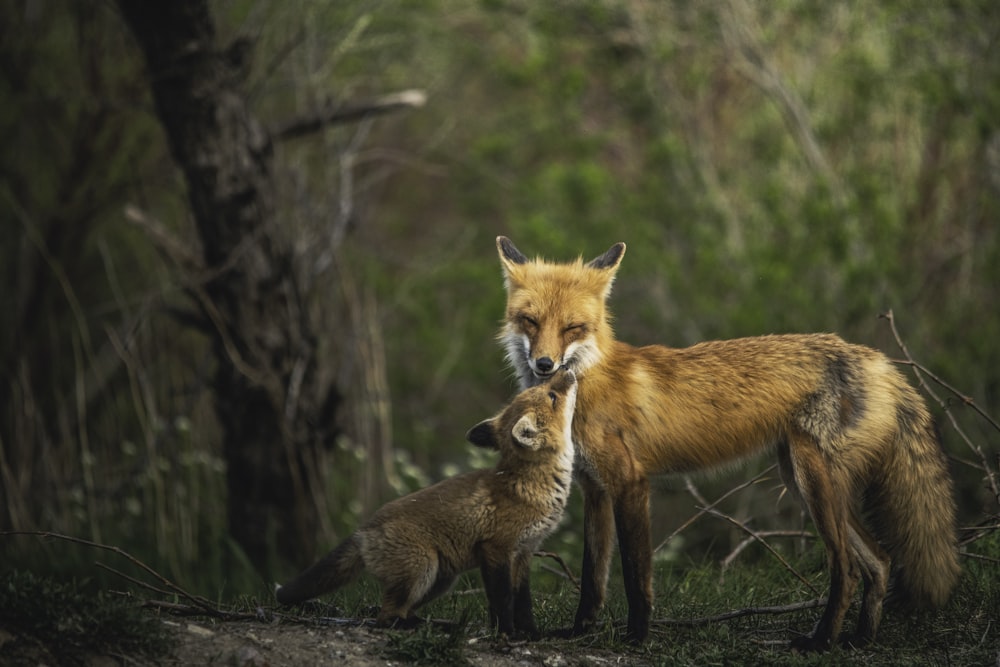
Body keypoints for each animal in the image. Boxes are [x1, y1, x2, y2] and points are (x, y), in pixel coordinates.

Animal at [276, 370, 580, 636]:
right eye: (552, 395)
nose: (565, 369)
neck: (529, 486)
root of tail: (363, 530)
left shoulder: (524, 552)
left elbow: (523, 603)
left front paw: (530, 634)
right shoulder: (496, 550)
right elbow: (502, 602)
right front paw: (506, 633)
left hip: (440, 581)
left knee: (399, 609)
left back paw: (435, 625)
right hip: (423, 569)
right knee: (385, 616)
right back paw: (411, 627)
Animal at [496, 236, 956, 652]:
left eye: (572, 327)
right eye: (530, 321)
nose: (544, 365)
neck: (587, 384)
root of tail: (878, 360)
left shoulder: (630, 483)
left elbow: (634, 573)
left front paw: (637, 637)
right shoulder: (594, 488)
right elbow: (593, 577)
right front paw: (579, 632)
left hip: (814, 483)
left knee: (848, 570)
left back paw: (821, 641)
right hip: (804, 481)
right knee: (880, 560)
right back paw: (861, 640)